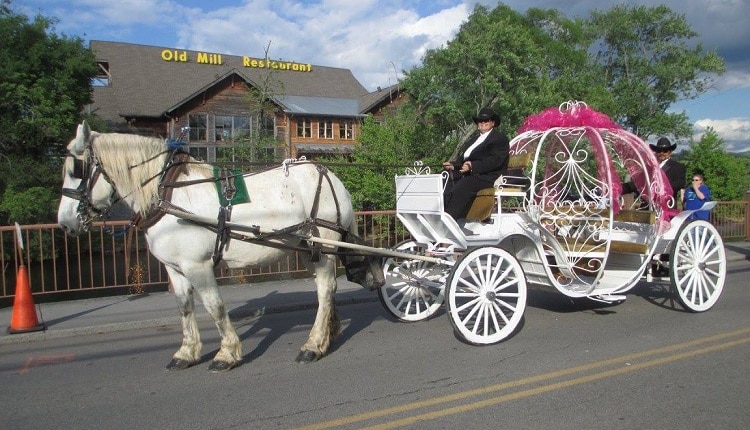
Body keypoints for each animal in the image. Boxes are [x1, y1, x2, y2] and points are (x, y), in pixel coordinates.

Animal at [58, 122, 382, 372]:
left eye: (77, 169)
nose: (64, 223)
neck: (167, 194)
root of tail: (331, 176)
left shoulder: (197, 265)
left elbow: (214, 306)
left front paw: (226, 354)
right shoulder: (174, 268)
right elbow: (185, 307)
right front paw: (186, 352)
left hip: (322, 242)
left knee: (326, 289)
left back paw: (313, 345)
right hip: (309, 247)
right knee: (324, 289)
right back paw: (329, 332)